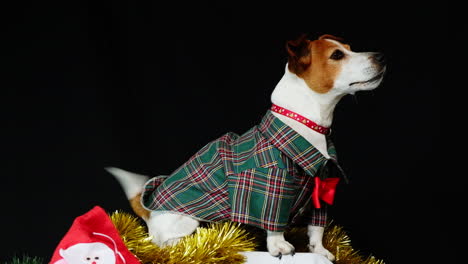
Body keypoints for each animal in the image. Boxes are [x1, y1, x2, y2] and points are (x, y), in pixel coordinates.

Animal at [107, 34, 388, 260]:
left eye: (350, 47)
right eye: (337, 55)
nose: (381, 55)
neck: (305, 123)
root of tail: (148, 211)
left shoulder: (323, 186)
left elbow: (317, 228)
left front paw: (319, 250)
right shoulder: (269, 184)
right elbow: (272, 220)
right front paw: (279, 246)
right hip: (184, 220)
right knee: (166, 244)